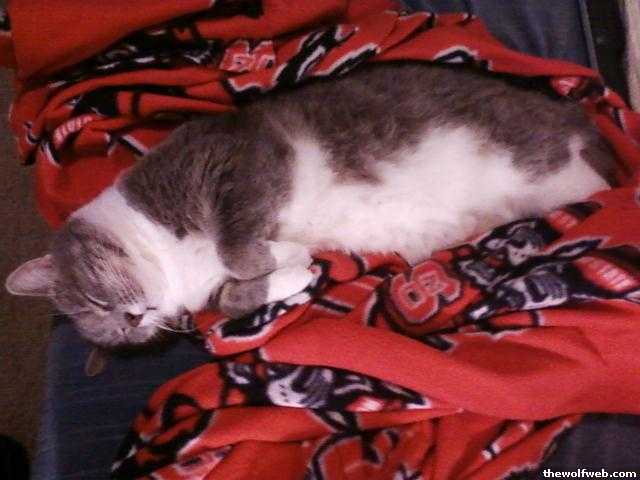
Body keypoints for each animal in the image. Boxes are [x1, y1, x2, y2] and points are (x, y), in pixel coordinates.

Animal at [5, 62, 615, 349]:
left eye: (95, 301)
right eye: (111, 334)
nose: (132, 322)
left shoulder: (234, 162)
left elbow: (235, 246)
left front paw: (272, 258)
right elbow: (229, 301)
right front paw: (296, 268)